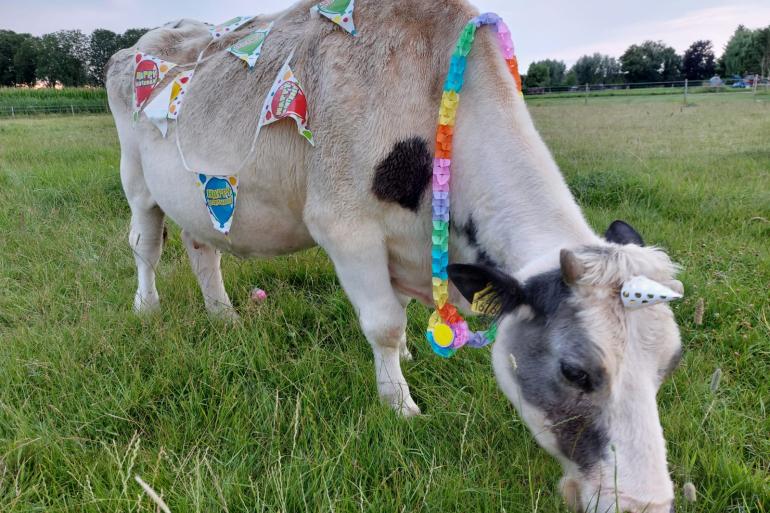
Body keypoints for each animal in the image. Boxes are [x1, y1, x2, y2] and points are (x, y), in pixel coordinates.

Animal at [105, 2, 680, 510]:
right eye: (575, 372)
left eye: (670, 363)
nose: (644, 503)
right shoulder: (345, 226)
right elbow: (383, 323)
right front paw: (400, 403)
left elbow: (399, 315)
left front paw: (403, 362)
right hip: (135, 177)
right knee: (144, 244)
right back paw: (145, 307)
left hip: (195, 197)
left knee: (202, 248)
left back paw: (223, 315)